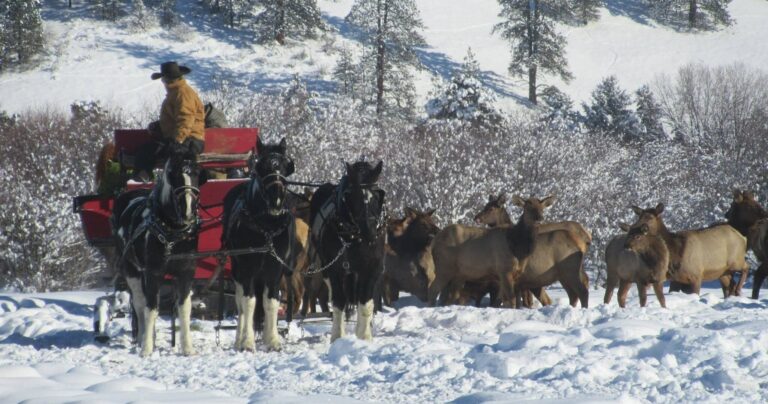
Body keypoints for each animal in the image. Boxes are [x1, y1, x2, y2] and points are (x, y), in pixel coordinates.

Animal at [113, 153, 201, 357]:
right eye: (173, 176)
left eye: (196, 175)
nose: (188, 211)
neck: (172, 233)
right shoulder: (153, 274)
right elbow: (151, 309)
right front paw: (146, 349)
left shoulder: (186, 274)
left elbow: (184, 308)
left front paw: (187, 348)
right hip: (132, 270)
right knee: (139, 304)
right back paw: (141, 339)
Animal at [221, 137, 297, 351]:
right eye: (262, 166)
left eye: (284, 165)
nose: (276, 198)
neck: (267, 226)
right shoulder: (247, 268)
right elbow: (248, 302)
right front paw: (247, 342)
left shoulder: (275, 268)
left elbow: (271, 302)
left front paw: (273, 341)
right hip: (237, 267)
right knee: (240, 301)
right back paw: (239, 338)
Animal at [309, 160, 386, 341]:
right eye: (353, 197)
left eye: (377, 196)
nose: (370, 233)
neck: (354, 237)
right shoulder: (335, 269)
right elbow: (339, 301)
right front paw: (337, 336)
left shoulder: (372, 269)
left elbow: (365, 302)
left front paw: (364, 336)